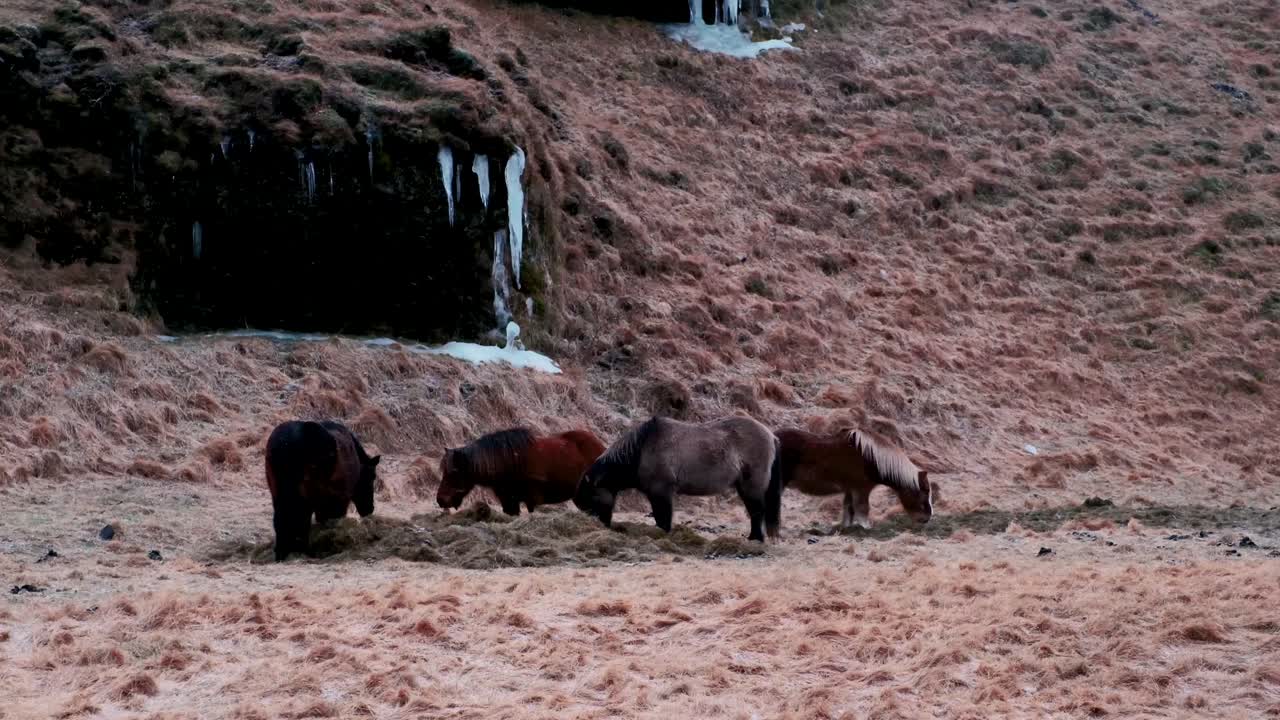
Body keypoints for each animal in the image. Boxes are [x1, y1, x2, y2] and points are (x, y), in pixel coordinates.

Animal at [265, 420, 380, 561]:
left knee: (283, 520)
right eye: (372, 477)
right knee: (300, 521)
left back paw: (284, 552)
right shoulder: (337, 501)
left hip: (280, 495)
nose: (369, 509)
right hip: (306, 498)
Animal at [437, 428, 606, 516]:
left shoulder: (532, 499)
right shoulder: (509, 501)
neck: (510, 461)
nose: (441, 500)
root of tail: (602, 448)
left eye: (454, 471)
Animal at [574, 416, 783, 542]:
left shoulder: (661, 492)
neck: (642, 448)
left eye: (592, 498)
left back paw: (755, 538)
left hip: (751, 486)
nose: (601, 527)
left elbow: (663, 518)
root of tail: (771, 436)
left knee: (757, 512)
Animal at [775, 427, 932, 530]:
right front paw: (866, 527)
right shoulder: (861, 489)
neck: (871, 457)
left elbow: (848, 509)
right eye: (923, 494)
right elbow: (862, 508)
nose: (926, 519)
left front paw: (846, 528)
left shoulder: (850, 489)